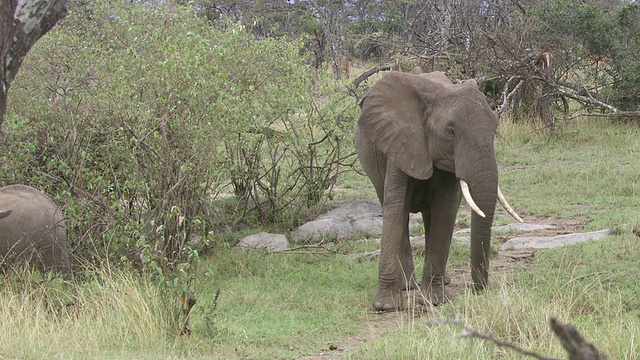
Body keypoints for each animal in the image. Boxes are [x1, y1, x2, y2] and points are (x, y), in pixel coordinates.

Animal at [356, 69, 520, 310]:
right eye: (450, 132)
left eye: (494, 130)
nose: (477, 289)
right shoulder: (400, 142)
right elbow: (396, 208)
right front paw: (385, 306)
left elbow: (445, 210)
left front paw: (435, 301)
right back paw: (408, 286)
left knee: (429, 215)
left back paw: (443, 281)